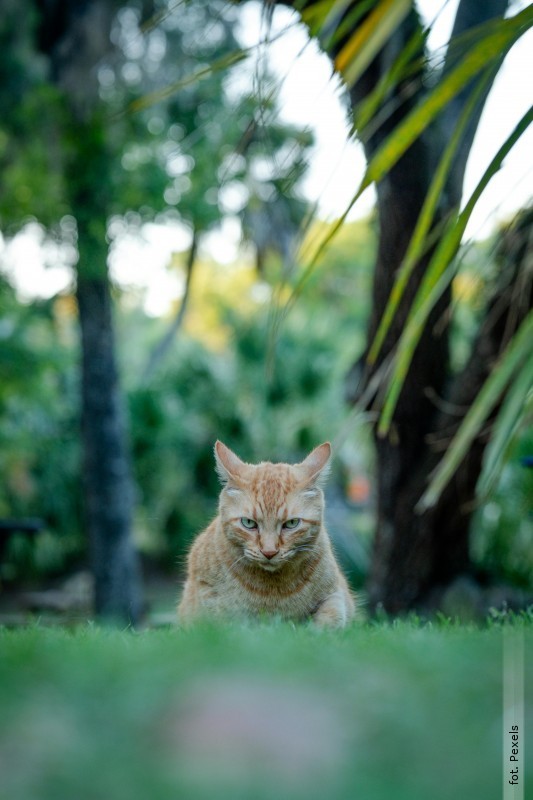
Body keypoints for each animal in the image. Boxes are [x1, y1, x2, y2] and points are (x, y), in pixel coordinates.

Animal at [177, 440, 356, 628]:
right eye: (249, 523)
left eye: (291, 523)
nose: (269, 552)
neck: (271, 590)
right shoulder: (208, 600)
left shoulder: (336, 595)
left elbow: (331, 618)